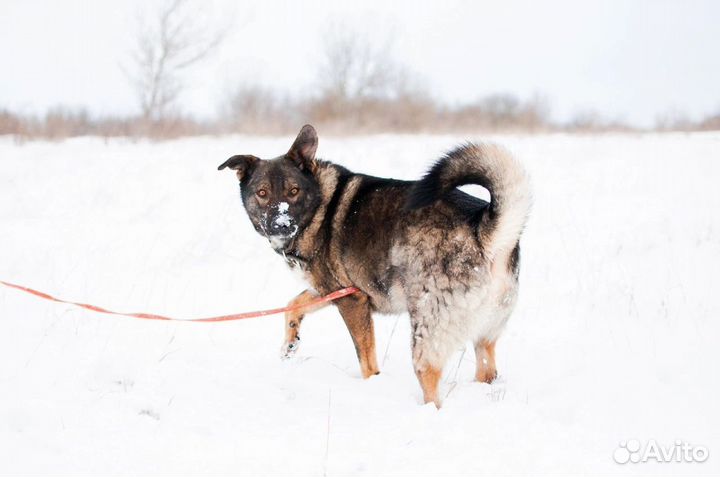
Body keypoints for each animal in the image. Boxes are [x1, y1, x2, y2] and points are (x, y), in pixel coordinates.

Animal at [217, 123, 532, 406]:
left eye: (294, 191)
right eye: (262, 193)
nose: (281, 224)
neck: (319, 207)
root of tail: (485, 230)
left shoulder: (352, 300)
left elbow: (366, 360)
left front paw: (371, 385)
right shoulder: (330, 291)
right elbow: (292, 305)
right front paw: (290, 344)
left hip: (427, 330)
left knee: (430, 380)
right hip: (485, 332)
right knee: (487, 370)